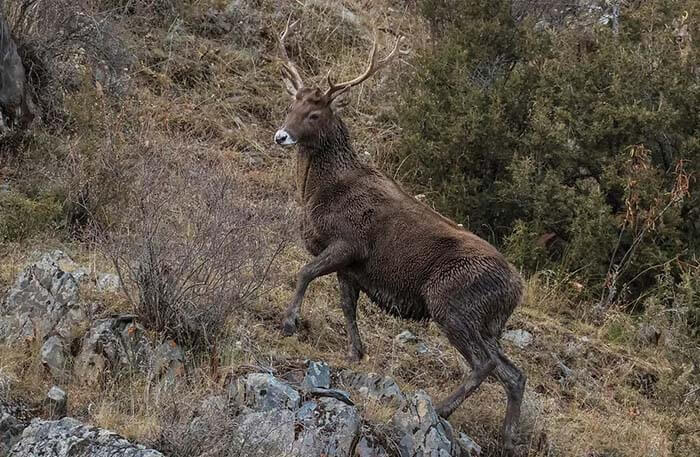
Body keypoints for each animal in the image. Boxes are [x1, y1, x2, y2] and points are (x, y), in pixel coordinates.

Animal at [274, 19, 526, 453]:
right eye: (292, 105)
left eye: (315, 113)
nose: (280, 136)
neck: (320, 194)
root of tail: (516, 289)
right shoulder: (351, 267)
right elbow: (347, 306)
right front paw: (355, 353)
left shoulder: (349, 242)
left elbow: (304, 272)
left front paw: (290, 323)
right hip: (489, 322)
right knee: (514, 372)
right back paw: (508, 437)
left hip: (452, 302)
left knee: (485, 363)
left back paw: (441, 409)